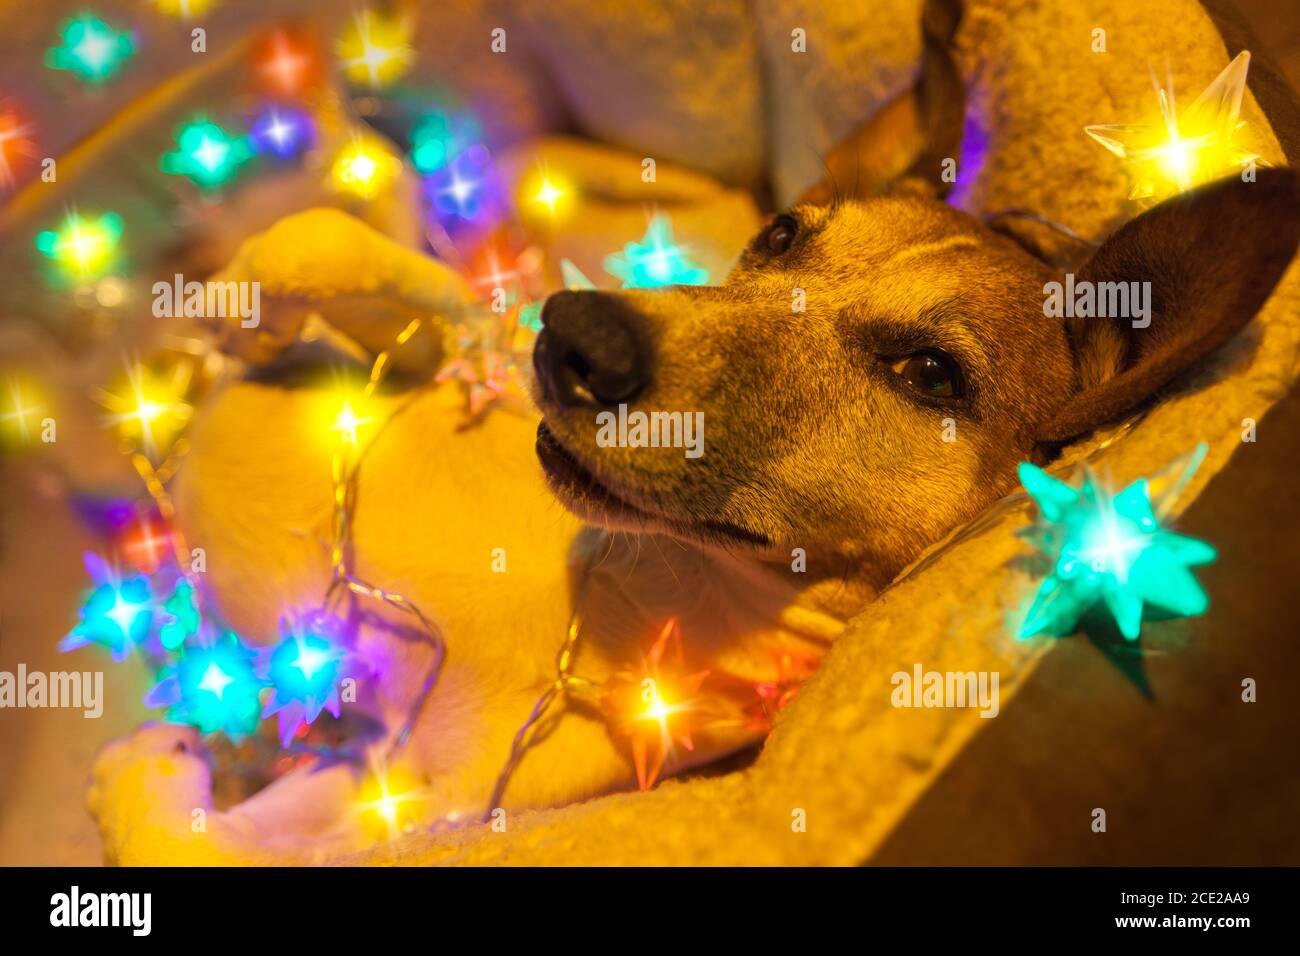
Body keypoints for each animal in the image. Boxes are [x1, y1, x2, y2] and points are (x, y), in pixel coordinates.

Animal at [86, 3, 1294, 868]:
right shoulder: (458, 339)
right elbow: (347, 252)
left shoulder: (413, 792)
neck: (627, 573)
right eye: (782, 234)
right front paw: (241, 313)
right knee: (382, 192)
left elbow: (189, 841)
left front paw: (149, 772)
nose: (572, 340)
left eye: (929, 375)